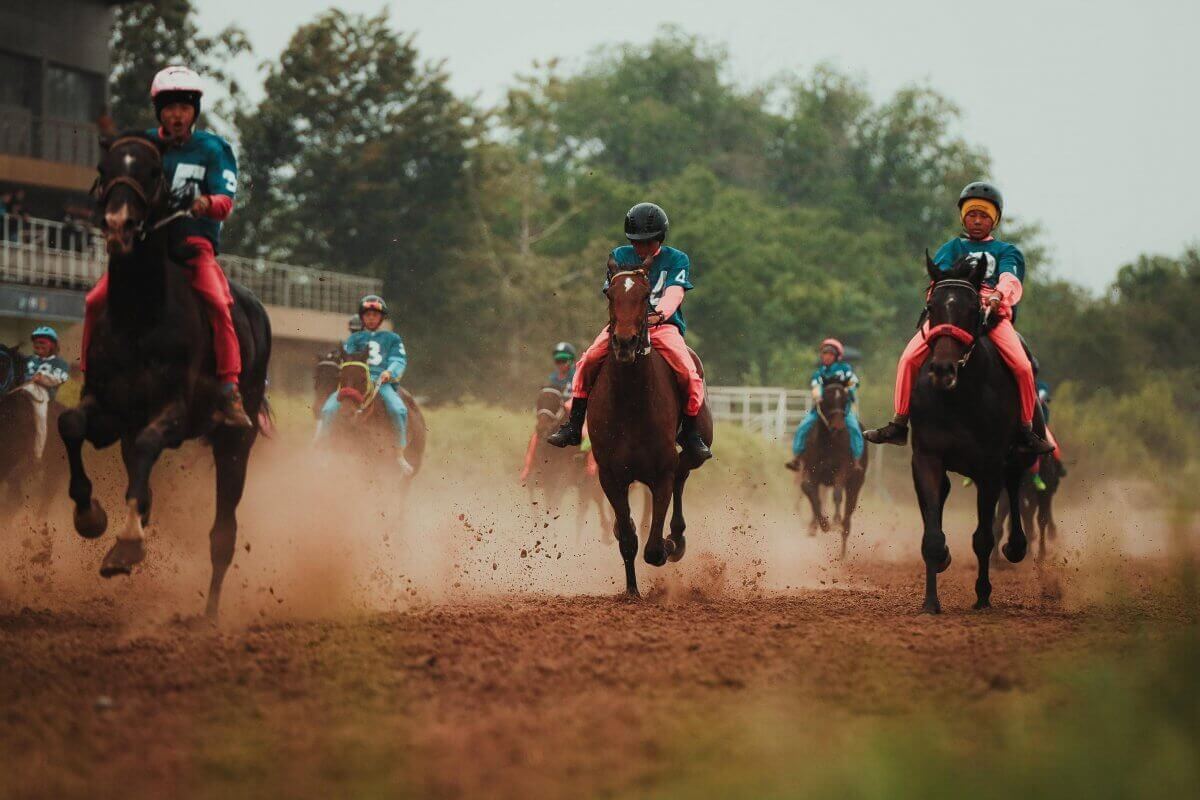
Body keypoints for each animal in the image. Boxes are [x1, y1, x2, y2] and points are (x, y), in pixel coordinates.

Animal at [58, 134, 272, 618]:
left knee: (223, 533)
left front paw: (127, 543)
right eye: (104, 167)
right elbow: (71, 423)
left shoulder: (175, 411)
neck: (140, 315)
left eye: (154, 171)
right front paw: (89, 515)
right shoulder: (108, 411)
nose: (118, 225)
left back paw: (208, 615)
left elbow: (149, 444)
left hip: (236, 442)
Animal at [588, 267, 710, 594]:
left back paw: (677, 538)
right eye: (610, 294)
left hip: (697, 447)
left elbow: (654, 548)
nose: (625, 342)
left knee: (684, 470)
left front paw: (669, 544)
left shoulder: (661, 473)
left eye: (645, 296)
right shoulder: (610, 475)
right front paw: (632, 590)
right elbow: (628, 539)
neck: (631, 402)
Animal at [787, 381, 864, 556]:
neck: (829, 441)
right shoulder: (811, 469)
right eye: (826, 400)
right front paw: (822, 524)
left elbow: (837, 492)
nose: (838, 427)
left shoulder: (843, 467)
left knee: (848, 514)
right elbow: (810, 491)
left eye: (844, 400)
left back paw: (842, 551)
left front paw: (835, 520)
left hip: (855, 485)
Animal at [902, 253, 1036, 618]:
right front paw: (930, 601)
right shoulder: (927, 458)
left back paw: (1016, 546)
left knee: (1015, 484)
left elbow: (984, 537)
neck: (957, 397)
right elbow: (932, 536)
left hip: (1018, 455)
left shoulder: (989, 467)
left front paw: (983, 596)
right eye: (932, 306)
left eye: (972, 308)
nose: (942, 369)